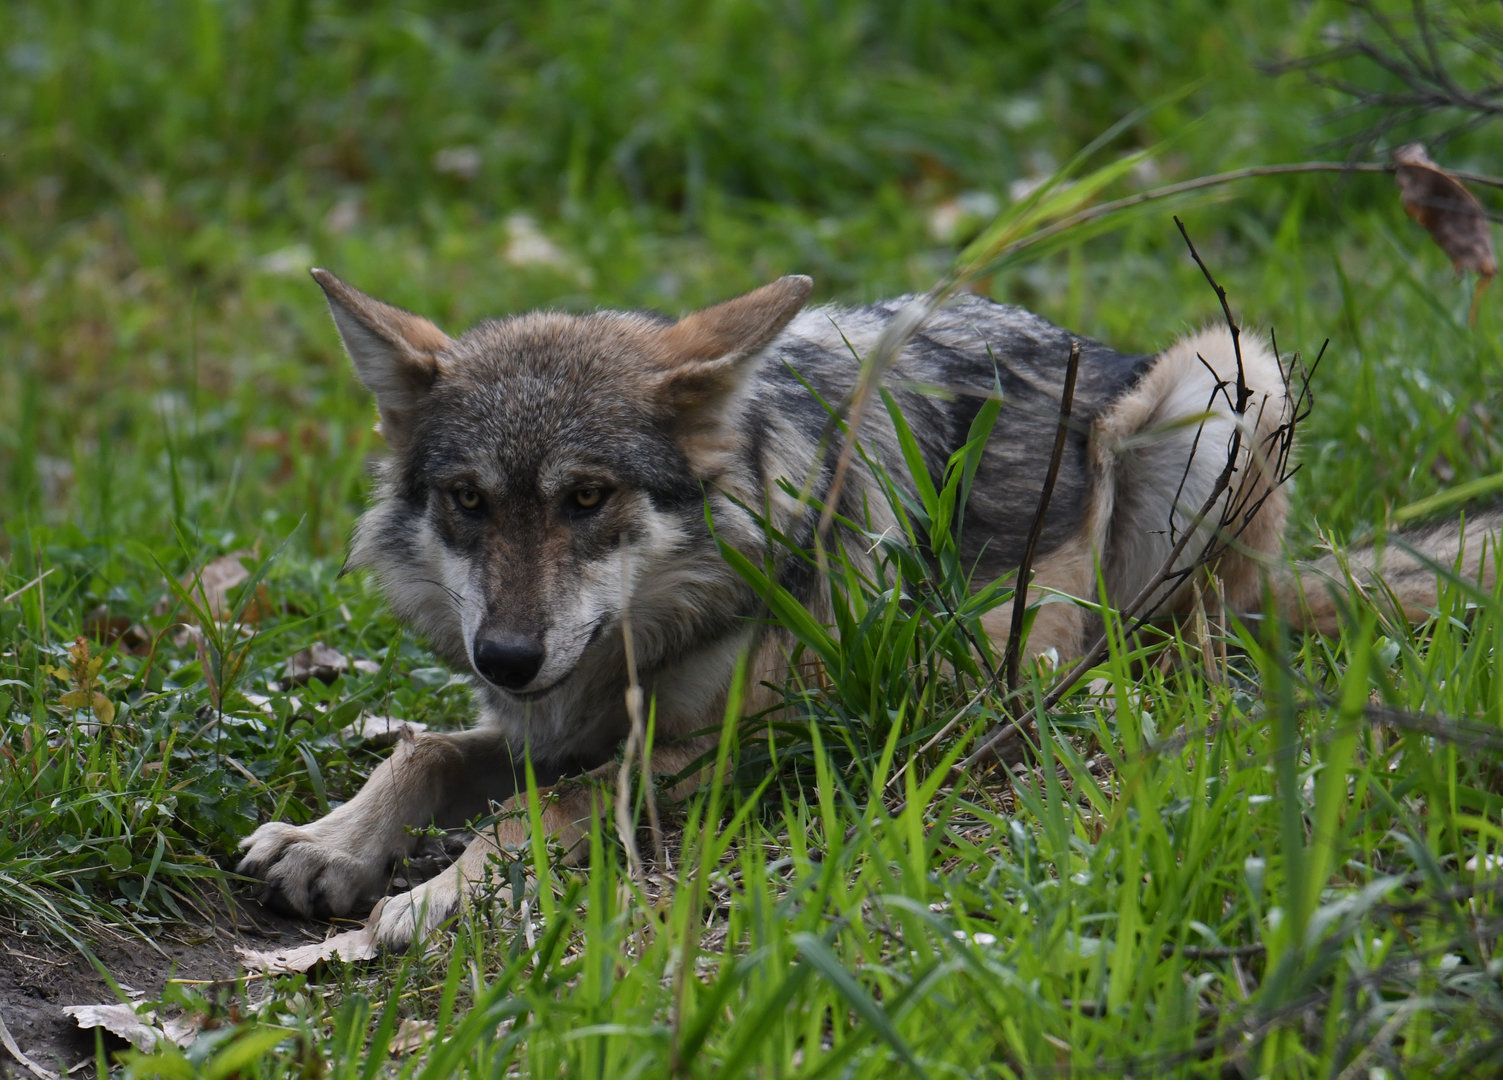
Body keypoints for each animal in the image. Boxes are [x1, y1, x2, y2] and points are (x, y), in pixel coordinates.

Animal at [238, 270, 1496, 946]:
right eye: (468, 502)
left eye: (586, 499)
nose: (502, 655)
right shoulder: (545, 719)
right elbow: (424, 751)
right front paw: (330, 843)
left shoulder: (766, 734)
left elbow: (540, 811)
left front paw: (429, 898)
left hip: (1227, 376)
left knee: (1179, 651)